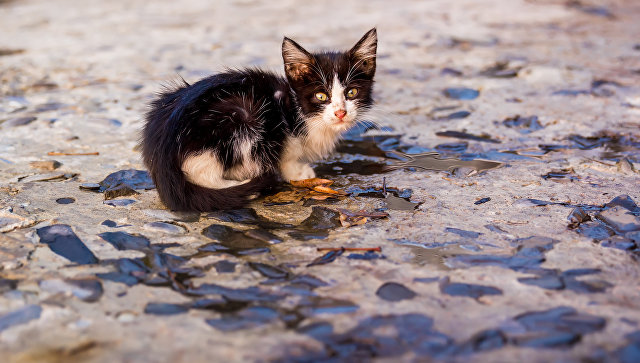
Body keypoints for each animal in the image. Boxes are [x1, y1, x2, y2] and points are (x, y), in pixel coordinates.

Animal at [142, 29, 378, 213]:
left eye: (352, 93)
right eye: (321, 96)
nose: (340, 113)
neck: (299, 110)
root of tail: (161, 156)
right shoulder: (281, 121)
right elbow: (287, 152)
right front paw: (298, 172)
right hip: (242, 115)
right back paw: (246, 186)